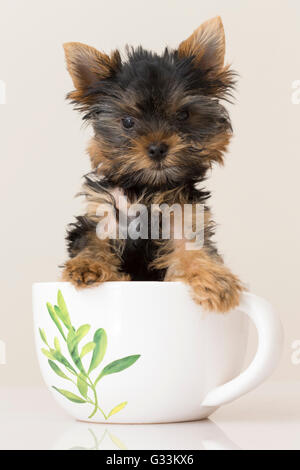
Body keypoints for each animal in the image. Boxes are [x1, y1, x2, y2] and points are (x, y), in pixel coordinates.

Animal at [61, 15, 244, 312]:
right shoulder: (103, 211)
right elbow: (92, 239)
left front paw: (214, 280)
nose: (157, 148)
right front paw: (87, 265)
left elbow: (194, 248)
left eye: (183, 115)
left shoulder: (184, 215)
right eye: (127, 122)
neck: (147, 187)